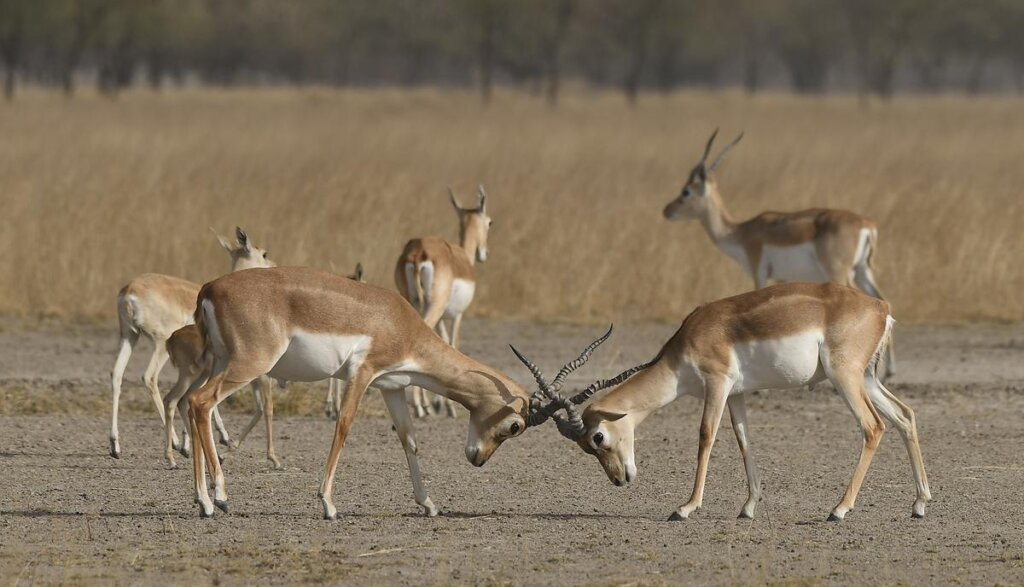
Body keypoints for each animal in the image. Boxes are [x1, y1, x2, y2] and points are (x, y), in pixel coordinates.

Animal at [110, 226, 274, 460]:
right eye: (264, 253)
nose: (273, 267)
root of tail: (130, 291)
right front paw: (217, 438)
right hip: (160, 343)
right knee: (150, 378)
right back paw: (175, 444)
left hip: (128, 336)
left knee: (116, 374)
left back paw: (115, 445)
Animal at [183, 266, 602, 516]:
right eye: (516, 426)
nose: (478, 459)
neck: (401, 324)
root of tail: (210, 288)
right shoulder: (363, 373)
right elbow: (343, 427)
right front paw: (328, 504)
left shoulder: (392, 387)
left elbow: (409, 440)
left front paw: (429, 503)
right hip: (248, 366)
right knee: (201, 403)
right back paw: (220, 497)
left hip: (218, 364)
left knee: (189, 402)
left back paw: (203, 500)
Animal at [393, 185, 493, 417]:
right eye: (490, 222)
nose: (483, 254)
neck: (462, 257)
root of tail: (418, 251)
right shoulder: (458, 315)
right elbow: (453, 344)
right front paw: (448, 407)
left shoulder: (441, 318)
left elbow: (442, 343)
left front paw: (437, 403)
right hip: (434, 306)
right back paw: (420, 407)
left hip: (414, 302)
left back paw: (423, 406)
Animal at [516, 280, 933, 520]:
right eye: (586, 448)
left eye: (598, 437)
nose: (619, 479)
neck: (688, 343)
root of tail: (880, 309)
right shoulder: (738, 394)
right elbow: (743, 440)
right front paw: (747, 508)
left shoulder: (717, 385)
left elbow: (706, 438)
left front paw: (685, 507)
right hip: (866, 378)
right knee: (905, 416)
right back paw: (919, 504)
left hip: (844, 377)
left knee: (873, 426)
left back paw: (840, 509)